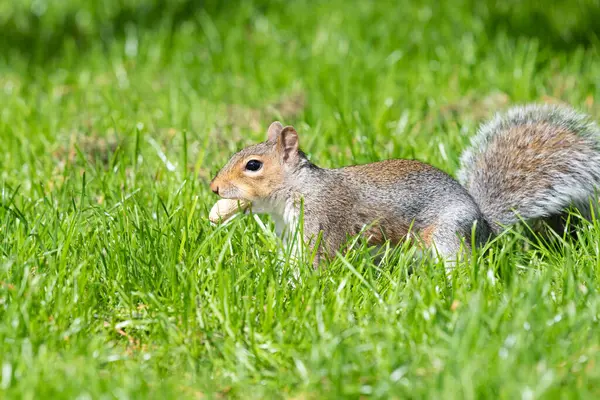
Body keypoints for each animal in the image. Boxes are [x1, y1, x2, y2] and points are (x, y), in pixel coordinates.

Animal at [210, 103, 600, 268]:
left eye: (253, 165)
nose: (214, 188)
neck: (298, 188)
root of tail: (484, 225)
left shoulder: (323, 222)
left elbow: (316, 259)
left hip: (447, 234)